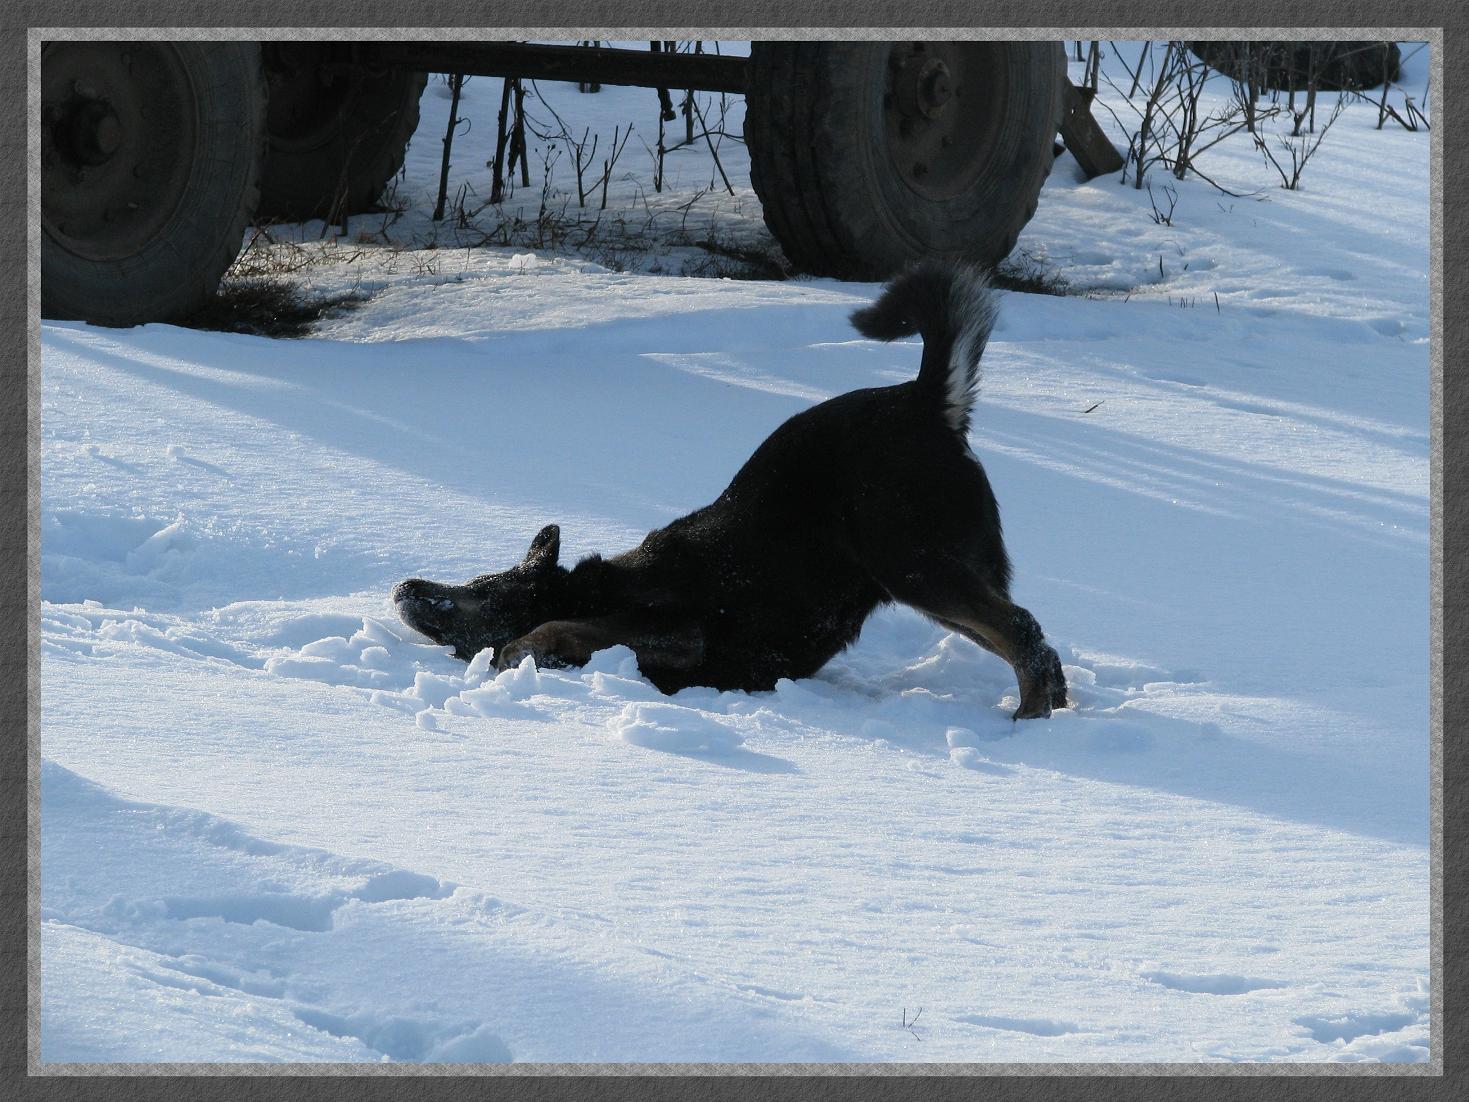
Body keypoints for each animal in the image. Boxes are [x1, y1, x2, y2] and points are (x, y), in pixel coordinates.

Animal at [396, 263, 1069, 719]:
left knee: (1024, 632)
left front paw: (519, 651)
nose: (404, 586)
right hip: (933, 573)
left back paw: (1027, 718)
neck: (592, 586)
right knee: (1031, 639)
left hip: (914, 563)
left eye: (479, 588)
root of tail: (925, 401)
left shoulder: (679, 628)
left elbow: (551, 631)